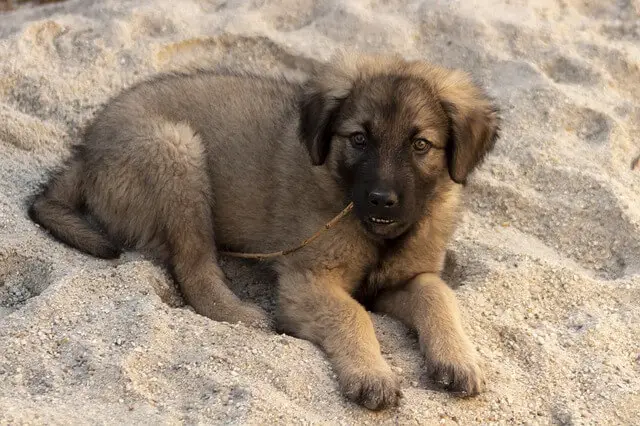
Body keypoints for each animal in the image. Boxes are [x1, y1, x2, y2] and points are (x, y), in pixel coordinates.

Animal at [28, 52, 500, 410]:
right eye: (359, 139)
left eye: (420, 145)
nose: (381, 199)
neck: (378, 236)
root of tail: (86, 150)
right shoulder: (307, 281)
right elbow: (353, 313)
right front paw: (372, 374)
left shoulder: (405, 279)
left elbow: (438, 296)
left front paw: (459, 360)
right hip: (177, 152)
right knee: (194, 269)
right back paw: (241, 314)